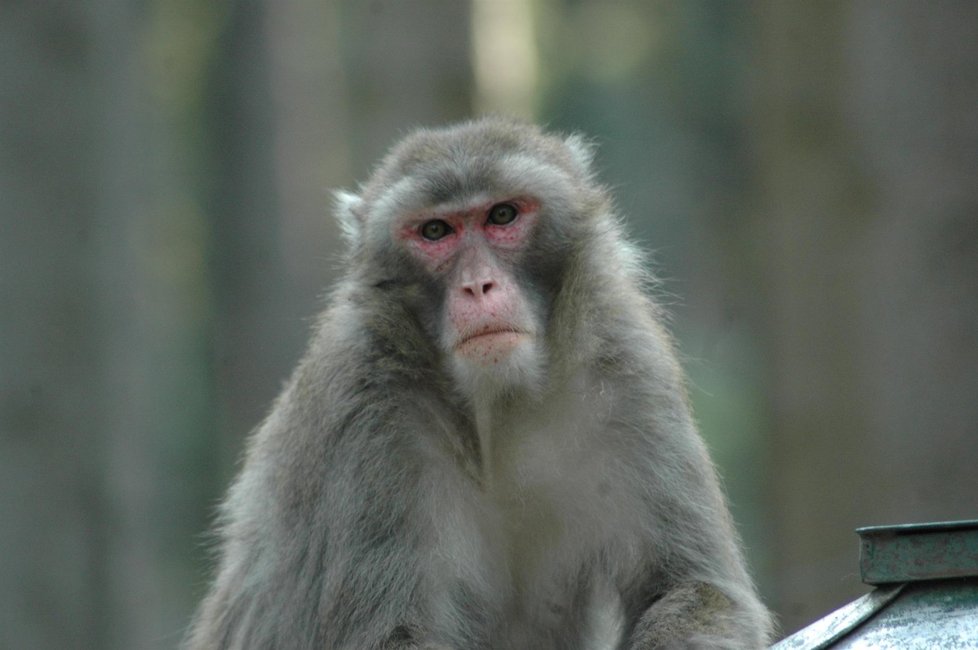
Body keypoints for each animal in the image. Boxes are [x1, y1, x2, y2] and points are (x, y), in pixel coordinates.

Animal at [187, 119, 772, 644]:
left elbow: (696, 589)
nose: (478, 285)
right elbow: (392, 633)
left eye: (502, 215)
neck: (498, 413)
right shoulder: (365, 410)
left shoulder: (627, 368)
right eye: (435, 232)